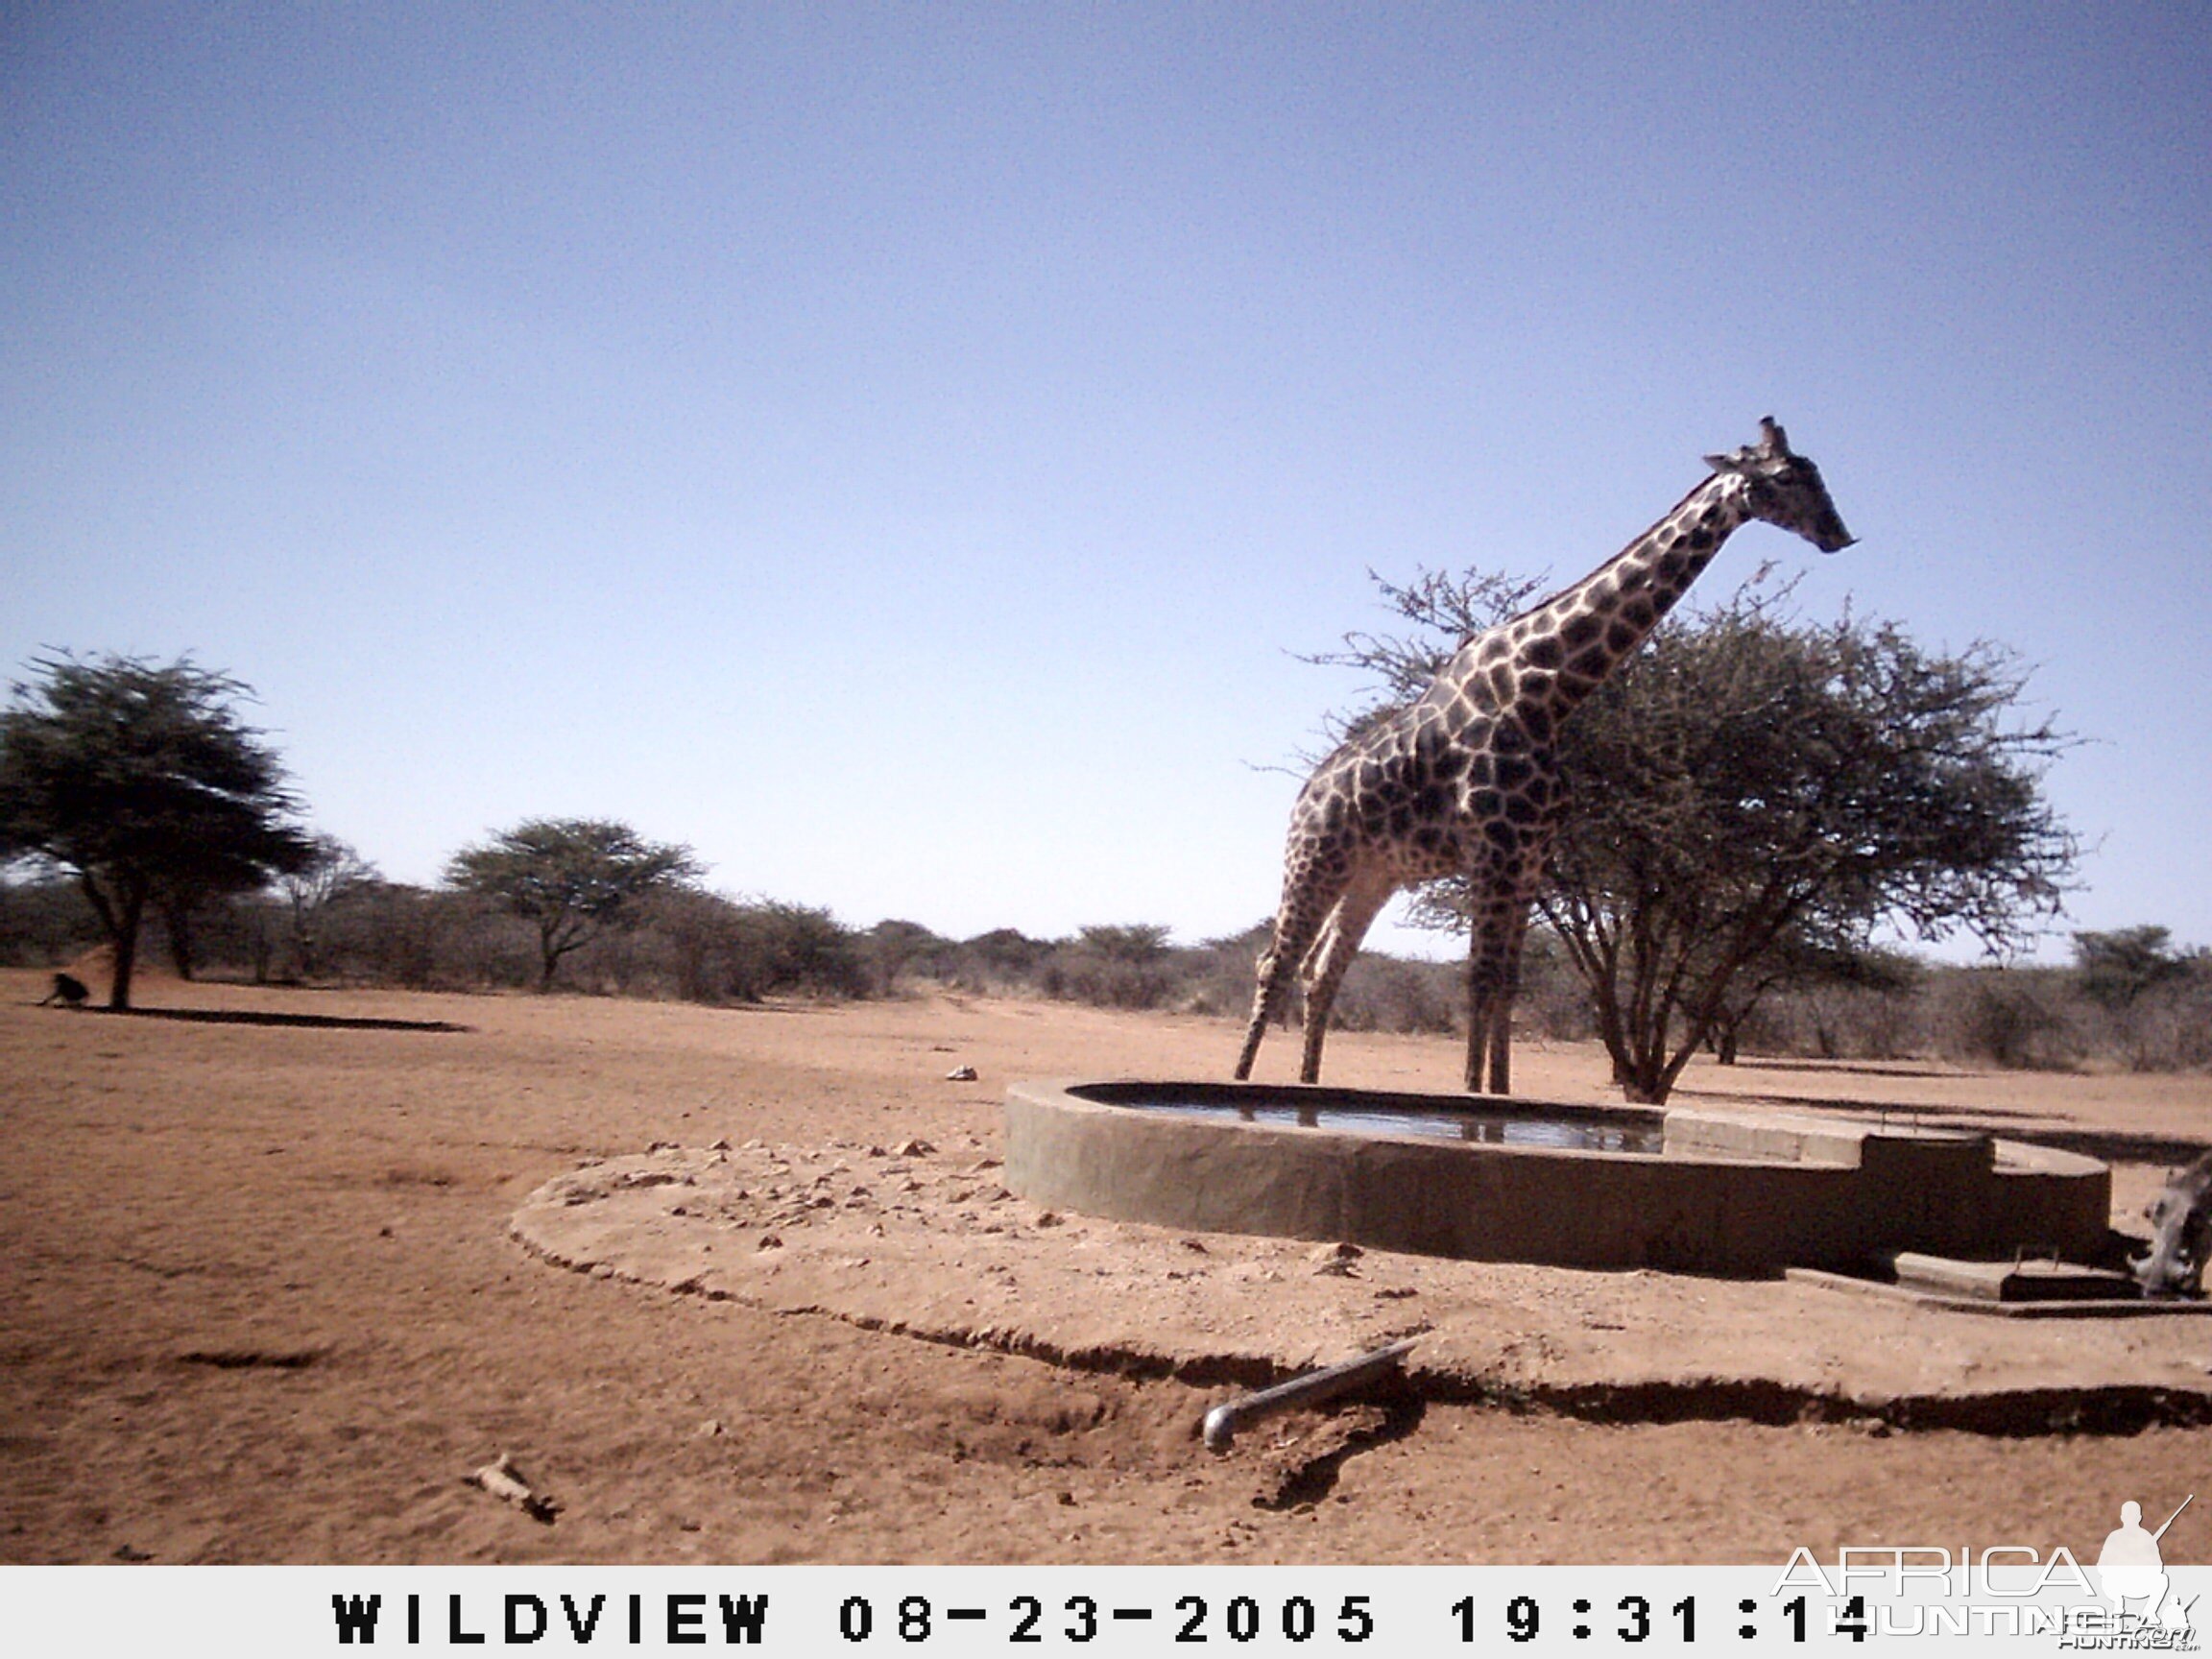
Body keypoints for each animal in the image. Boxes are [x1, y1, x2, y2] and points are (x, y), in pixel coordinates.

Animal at [1238, 418, 1858, 1093]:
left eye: (1817, 471)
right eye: (1786, 477)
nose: (1839, 536)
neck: (1547, 692)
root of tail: (1304, 797)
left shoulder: (1531, 857)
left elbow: (1507, 984)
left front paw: (1500, 1094)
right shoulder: (1494, 850)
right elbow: (1480, 979)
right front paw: (1471, 1099)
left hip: (1372, 875)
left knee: (1323, 970)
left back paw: (1309, 1087)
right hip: (1315, 860)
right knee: (1274, 962)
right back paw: (1243, 1085)